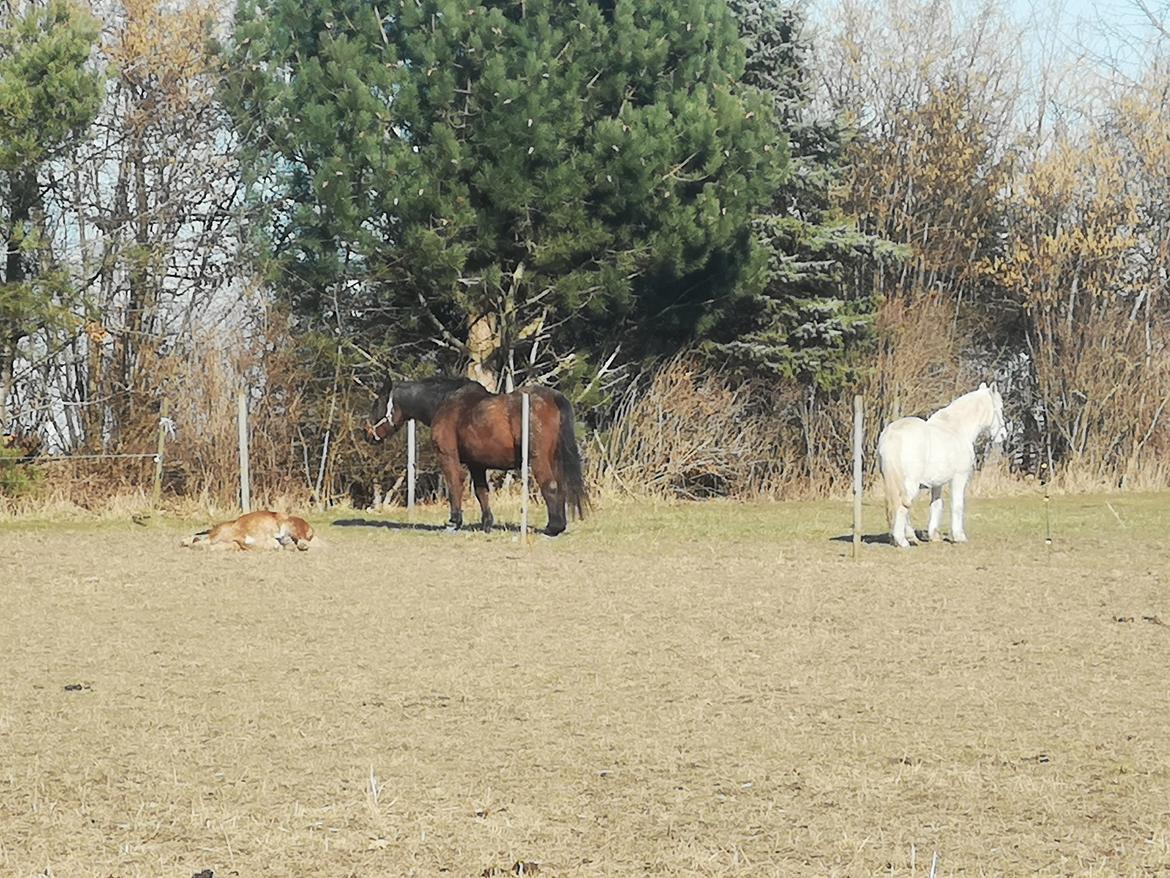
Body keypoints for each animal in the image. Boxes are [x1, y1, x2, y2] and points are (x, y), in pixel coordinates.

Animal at [362, 376, 585, 536]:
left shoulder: (448, 457)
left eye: (377, 404)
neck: (444, 403)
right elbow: (481, 492)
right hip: (555, 459)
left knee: (551, 486)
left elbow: (454, 485)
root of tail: (553, 398)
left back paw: (553, 528)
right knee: (561, 486)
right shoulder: (477, 464)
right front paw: (486, 523)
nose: (367, 434)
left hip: (538, 460)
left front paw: (454, 521)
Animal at [879, 381, 1006, 547]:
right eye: (1001, 407)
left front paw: (934, 535)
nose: (1003, 435)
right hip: (910, 484)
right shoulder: (959, 477)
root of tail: (892, 435)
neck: (957, 429)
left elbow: (936, 505)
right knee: (902, 506)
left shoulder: (937, 483)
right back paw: (903, 541)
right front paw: (959, 536)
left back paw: (908, 537)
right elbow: (957, 505)